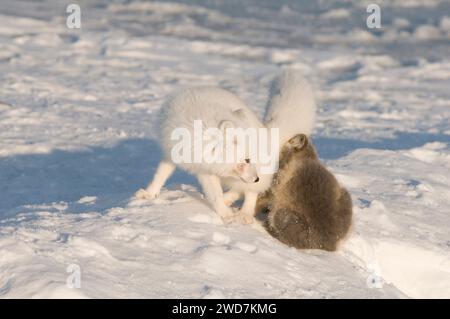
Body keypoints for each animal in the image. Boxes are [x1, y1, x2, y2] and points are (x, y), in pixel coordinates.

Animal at [135, 70, 314, 225]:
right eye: (246, 160)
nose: (256, 178)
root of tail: (267, 132)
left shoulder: (207, 170)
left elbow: (216, 194)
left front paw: (226, 215)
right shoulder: (175, 154)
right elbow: (160, 175)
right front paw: (149, 194)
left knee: (250, 191)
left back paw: (244, 213)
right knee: (239, 189)